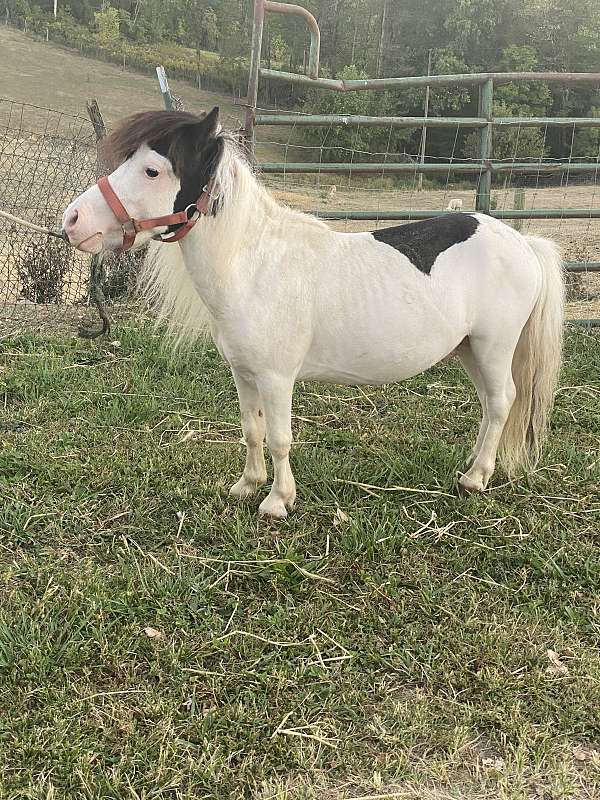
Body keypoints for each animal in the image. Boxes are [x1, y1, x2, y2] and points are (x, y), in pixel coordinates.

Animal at [63, 108, 564, 520]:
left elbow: (280, 437)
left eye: (152, 169)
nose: (72, 221)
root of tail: (523, 243)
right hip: (469, 350)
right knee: (489, 405)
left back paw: (476, 478)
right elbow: (251, 429)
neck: (255, 262)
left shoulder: (276, 377)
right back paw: (471, 466)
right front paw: (247, 485)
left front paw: (277, 501)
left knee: (502, 401)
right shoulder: (243, 373)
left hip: (494, 347)